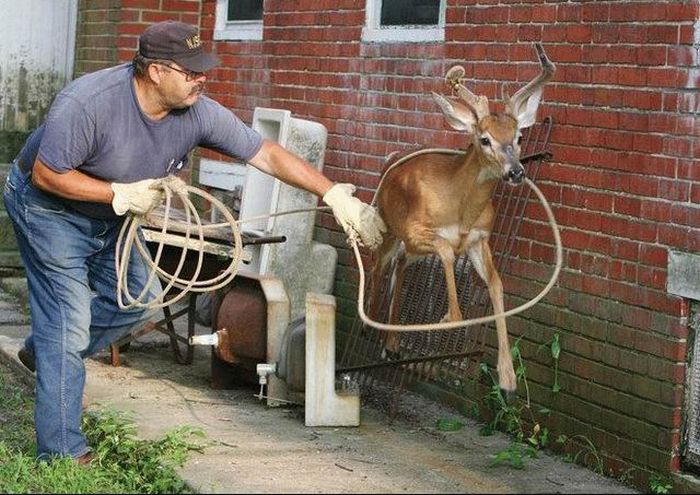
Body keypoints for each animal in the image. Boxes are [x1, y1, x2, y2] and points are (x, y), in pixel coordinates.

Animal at [370, 42, 556, 400]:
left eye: (519, 137)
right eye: (484, 139)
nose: (516, 172)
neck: (461, 208)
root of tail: (392, 158)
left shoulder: (479, 240)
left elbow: (496, 285)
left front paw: (507, 379)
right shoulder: (416, 230)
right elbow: (445, 249)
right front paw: (451, 317)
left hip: (411, 249)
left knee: (400, 264)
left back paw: (392, 343)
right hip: (388, 228)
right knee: (377, 267)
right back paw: (372, 328)